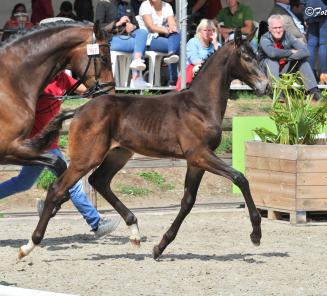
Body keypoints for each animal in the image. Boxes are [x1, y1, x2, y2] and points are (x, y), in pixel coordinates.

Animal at [19, 28, 270, 260]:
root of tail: (79, 109)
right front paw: (256, 234)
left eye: (257, 55)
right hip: (86, 157)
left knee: (99, 181)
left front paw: (160, 247)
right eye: (246, 57)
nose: (265, 86)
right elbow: (240, 178)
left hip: (119, 154)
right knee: (58, 188)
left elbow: (188, 201)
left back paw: (134, 231)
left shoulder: (196, 161)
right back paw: (28, 246)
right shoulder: (199, 154)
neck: (200, 106)